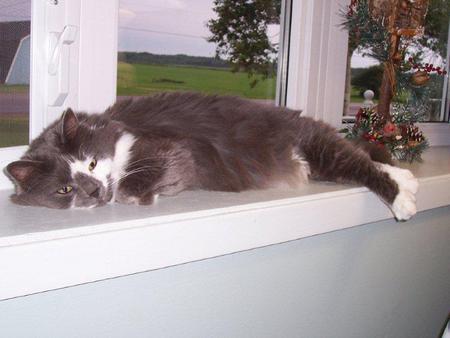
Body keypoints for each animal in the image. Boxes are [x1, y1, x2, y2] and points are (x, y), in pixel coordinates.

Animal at [4, 91, 418, 220]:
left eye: (91, 162)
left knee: (361, 164)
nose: (92, 191)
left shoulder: (173, 149)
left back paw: (403, 201)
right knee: (365, 160)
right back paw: (408, 180)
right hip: (321, 160)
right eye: (65, 189)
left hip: (321, 151)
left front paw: (140, 194)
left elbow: (127, 187)